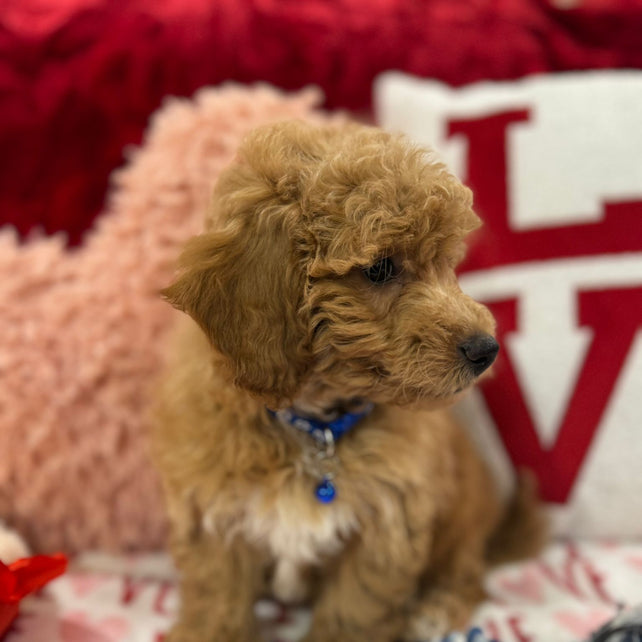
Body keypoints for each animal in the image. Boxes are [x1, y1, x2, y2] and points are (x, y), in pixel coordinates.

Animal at [152, 121, 544, 640]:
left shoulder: (387, 523)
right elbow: (216, 602)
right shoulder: (215, 518)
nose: (486, 349)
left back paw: (437, 609)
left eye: (447, 265)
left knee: (468, 571)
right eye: (380, 268)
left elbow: (354, 611)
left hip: (461, 519)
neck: (313, 429)